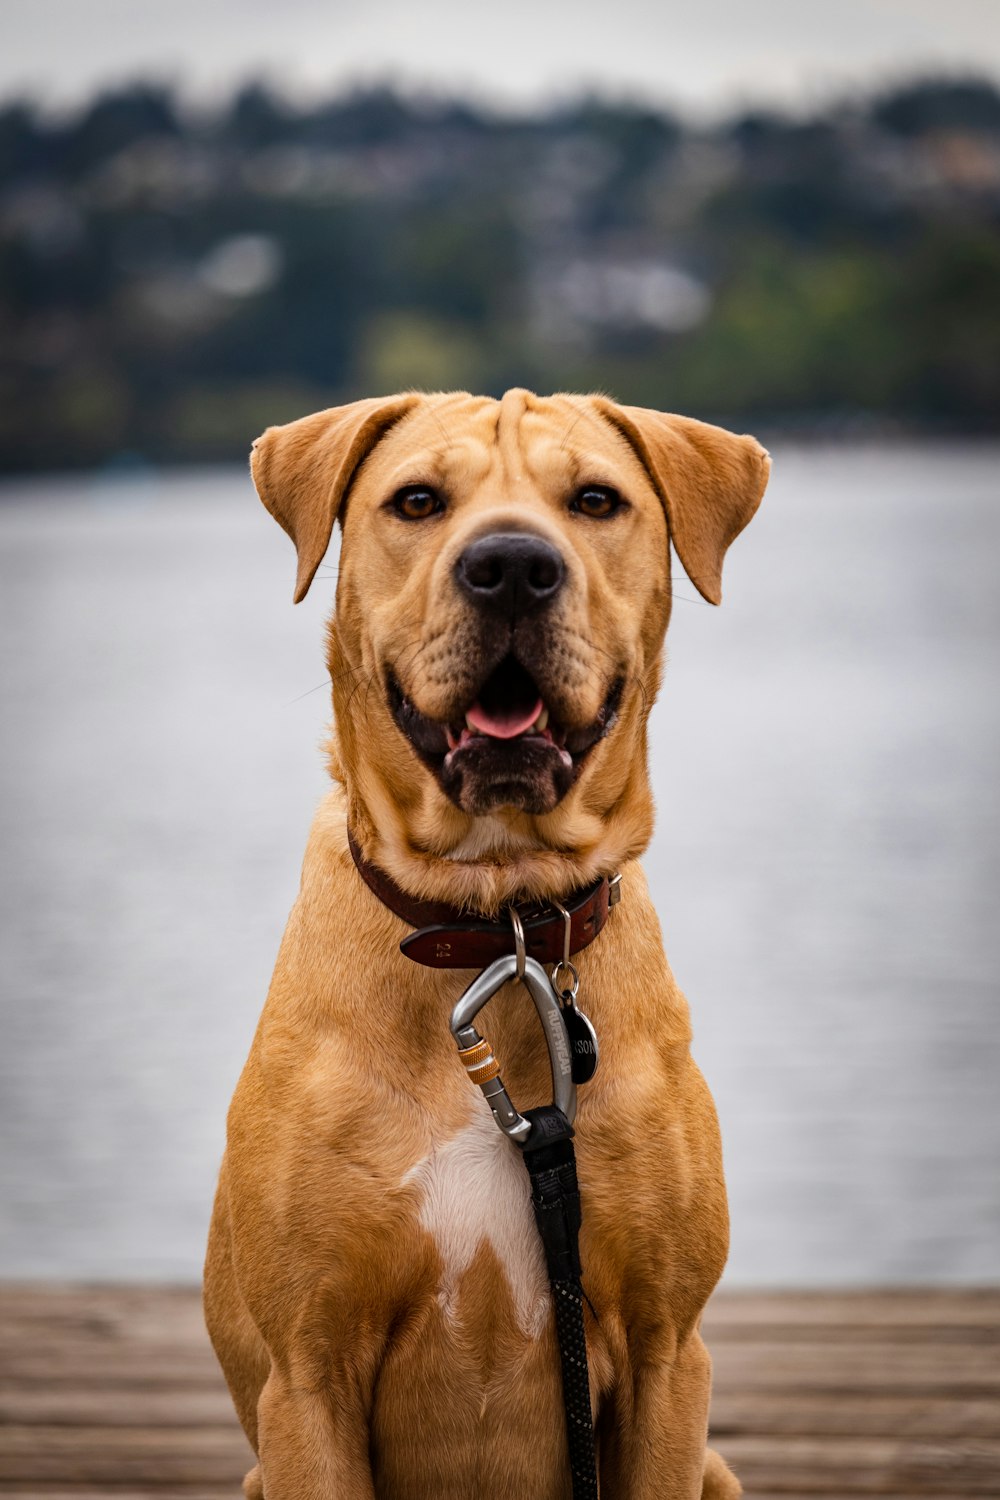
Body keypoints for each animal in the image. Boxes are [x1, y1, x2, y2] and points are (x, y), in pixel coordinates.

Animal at [200, 390, 767, 1500]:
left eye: (596, 500)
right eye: (417, 501)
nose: (510, 565)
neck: (494, 919)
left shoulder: (666, 1354)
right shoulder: (308, 1374)